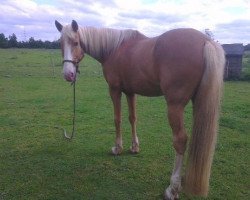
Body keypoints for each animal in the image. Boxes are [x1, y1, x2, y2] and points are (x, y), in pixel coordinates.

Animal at [54, 19, 225, 199]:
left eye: (76, 42)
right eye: (61, 44)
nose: (68, 74)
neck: (114, 49)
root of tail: (205, 41)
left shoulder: (114, 90)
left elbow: (117, 119)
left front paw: (117, 148)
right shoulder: (130, 92)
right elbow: (132, 118)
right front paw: (134, 146)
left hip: (175, 106)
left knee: (180, 140)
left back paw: (172, 188)